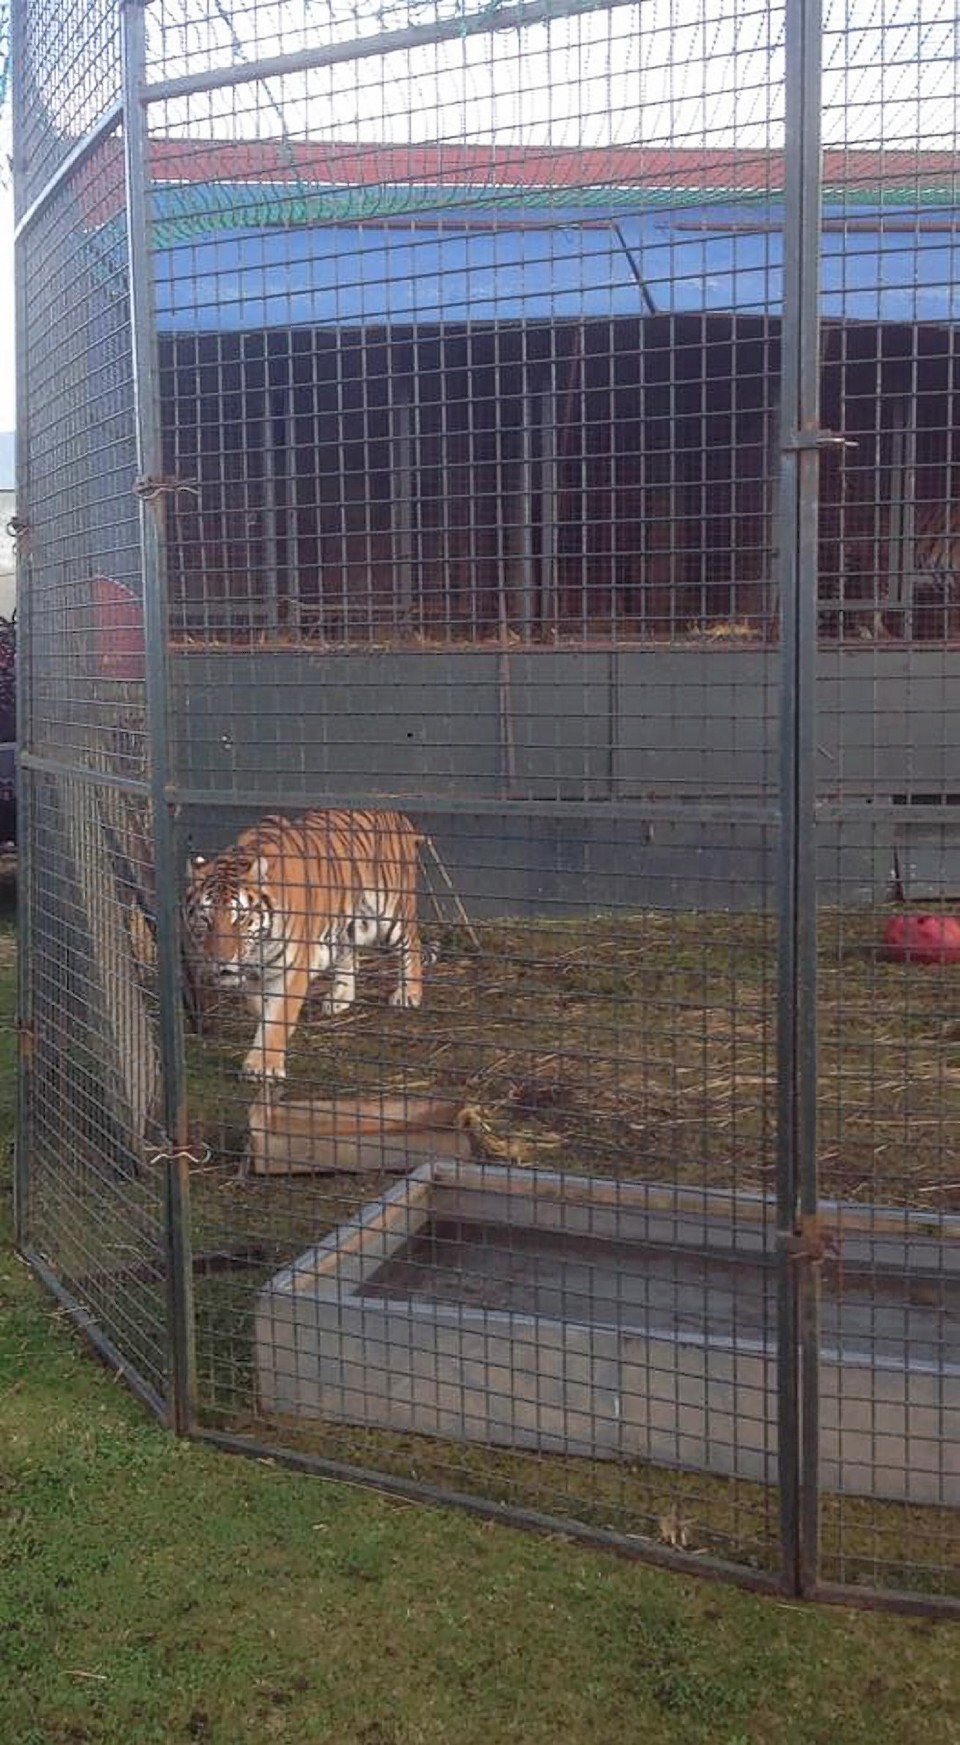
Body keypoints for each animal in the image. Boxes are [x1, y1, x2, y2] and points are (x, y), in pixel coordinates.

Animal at [184, 809, 425, 1081]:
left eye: (241, 919)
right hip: (349, 921)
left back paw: (408, 994)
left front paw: (263, 1065)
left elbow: (278, 1016)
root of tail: (398, 816)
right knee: (349, 954)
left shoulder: (292, 967)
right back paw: (340, 998)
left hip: (390, 914)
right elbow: (259, 1005)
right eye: (206, 920)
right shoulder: (254, 972)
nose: (221, 963)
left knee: (412, 944)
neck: (258, 948)